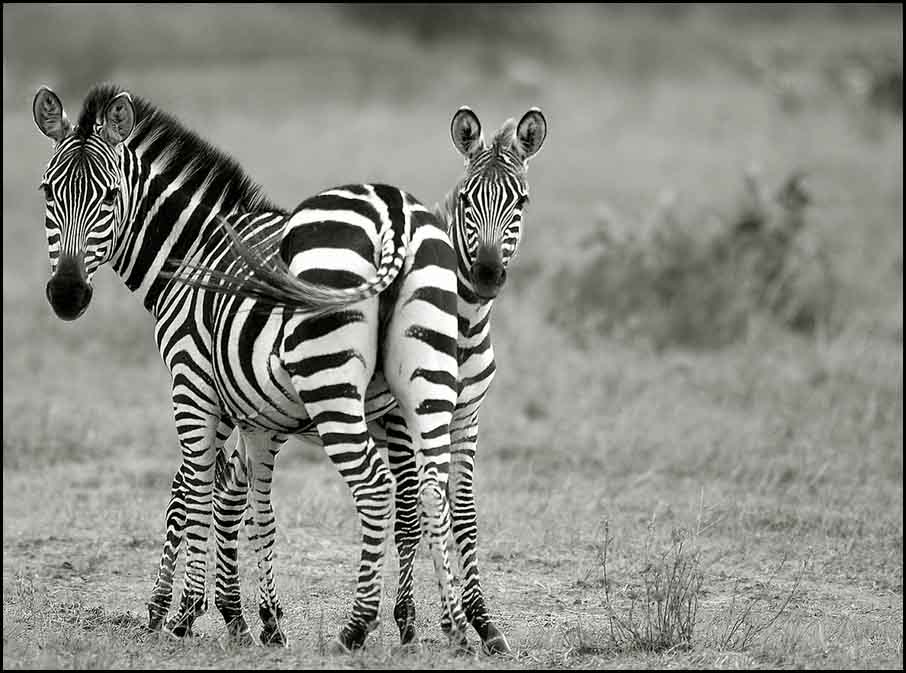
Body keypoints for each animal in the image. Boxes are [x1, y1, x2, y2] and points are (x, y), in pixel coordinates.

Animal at [31, 84, 466, 652]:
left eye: (108, 198)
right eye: (47, 193)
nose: (66, 295)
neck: (195, 250)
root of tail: (394, 221)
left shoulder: (192, 381)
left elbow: (193, 492)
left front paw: (183, 612)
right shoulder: (251, 407)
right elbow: (239, 501)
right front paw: (253, 617)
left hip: (332, 385)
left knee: (375, 489)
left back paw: (357, 626)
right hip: (418, 389)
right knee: (429, 494)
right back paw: (449, 627)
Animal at [200, 107, 548, 652]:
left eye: (522, 201)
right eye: (467, 198)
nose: (488, 275)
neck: (465, 326)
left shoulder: (466, 418)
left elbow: (458, 512)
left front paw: (471, 621)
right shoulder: (402, 422)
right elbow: (410, 514)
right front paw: (413, 620)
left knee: (232, 485)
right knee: (210, 484)